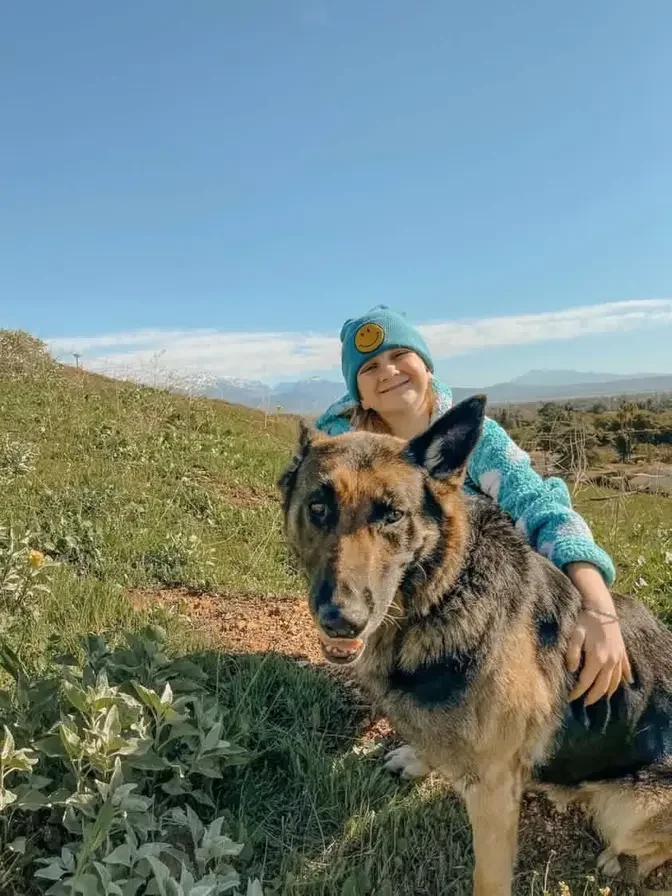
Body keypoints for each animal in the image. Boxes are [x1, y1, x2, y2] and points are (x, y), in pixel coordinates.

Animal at [276, 396, 672, 892]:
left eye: (393, 515)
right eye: (318, 507)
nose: (342, 621)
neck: (443, 595)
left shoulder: (493, 792)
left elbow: (488, 876)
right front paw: (419, 760)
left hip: (630, 810)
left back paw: (620, 859)